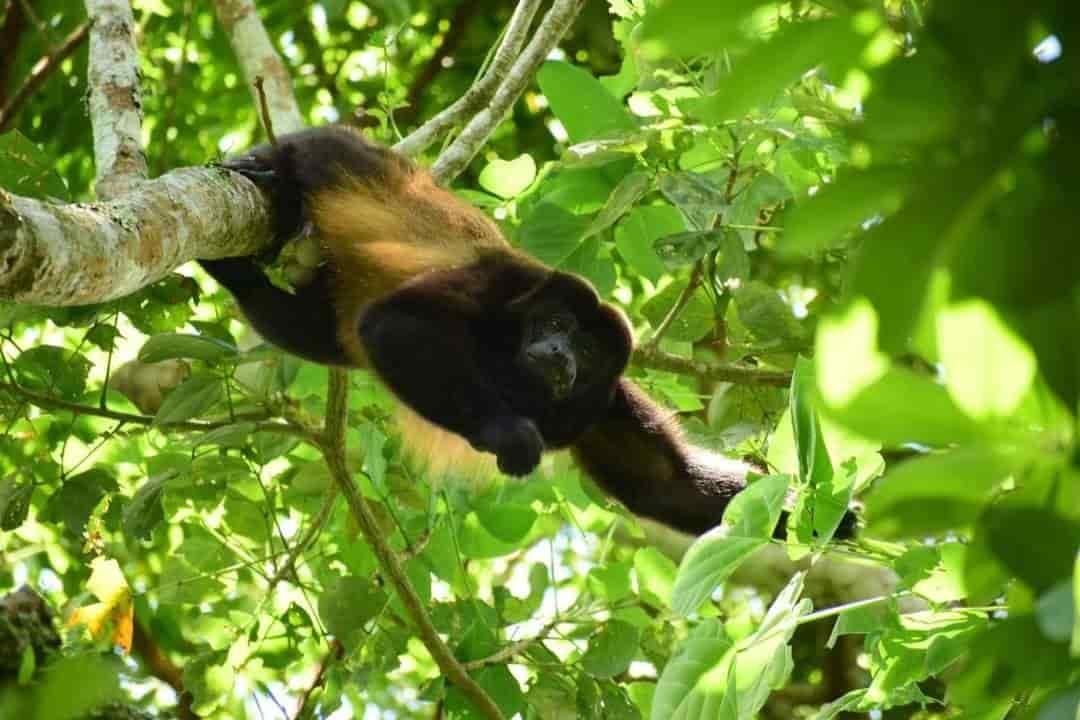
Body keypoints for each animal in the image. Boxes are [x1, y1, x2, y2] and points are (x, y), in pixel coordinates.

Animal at [198, 126, 846, 537]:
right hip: (327, 150)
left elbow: (664, 483)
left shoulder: (603, 399)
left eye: (587, 348)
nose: (559, 352)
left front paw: (829, 515)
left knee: (309, 331)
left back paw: (238, 278)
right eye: (556, 324)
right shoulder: (499, 286)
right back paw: (261, 178)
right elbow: (393, 322)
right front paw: (504, 431)